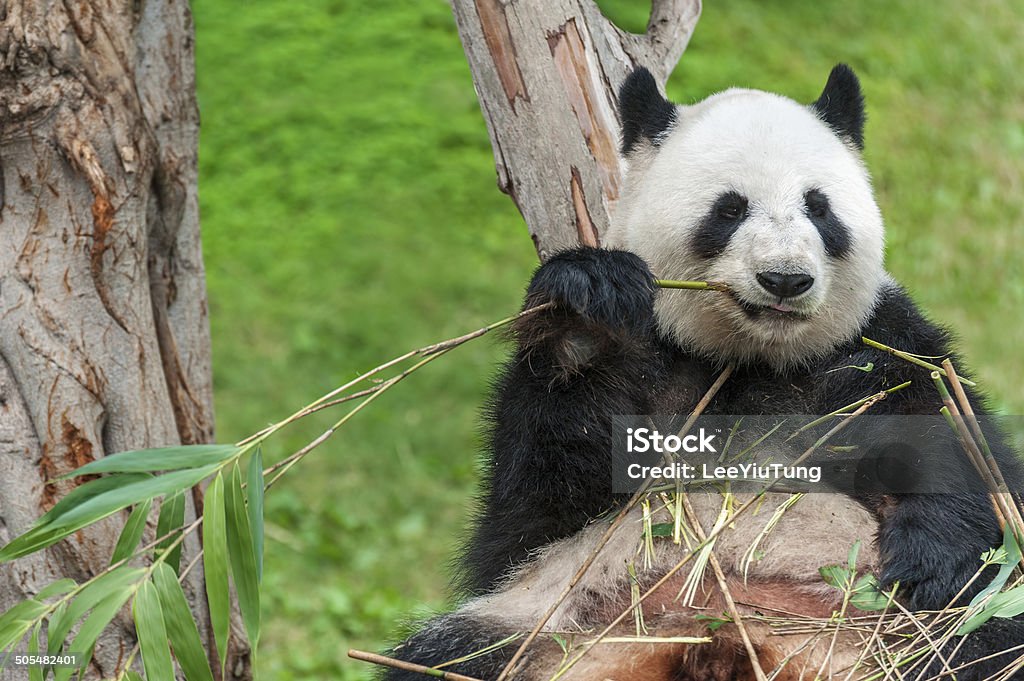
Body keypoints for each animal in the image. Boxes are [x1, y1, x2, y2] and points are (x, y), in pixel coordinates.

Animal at [378, 65, 1024, 679]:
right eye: (730, 209)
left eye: (819, 208)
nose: (785, 279)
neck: (753, 357)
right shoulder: (655, 356)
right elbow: (534, 506)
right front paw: (587, 315)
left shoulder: (877, 345)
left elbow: (953, 439)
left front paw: (927, 561)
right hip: (548, 619)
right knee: (450, 656)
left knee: (985, 642)